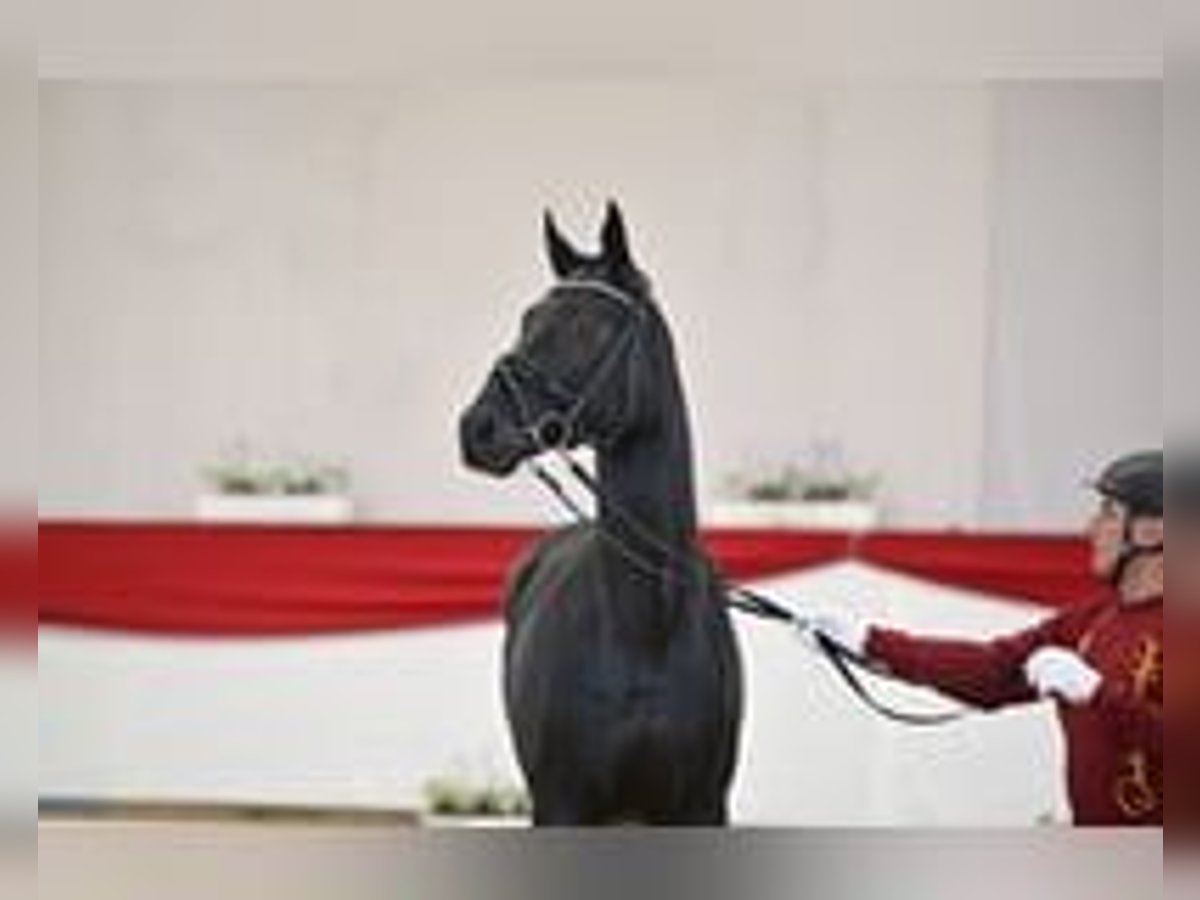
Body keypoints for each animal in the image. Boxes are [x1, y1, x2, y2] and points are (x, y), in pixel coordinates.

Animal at [458, 202, 743, 825]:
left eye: (591, 328)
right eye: (528, 318)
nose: (477, 428)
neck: (646, 628)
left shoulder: (702, 806)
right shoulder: (561, 804)